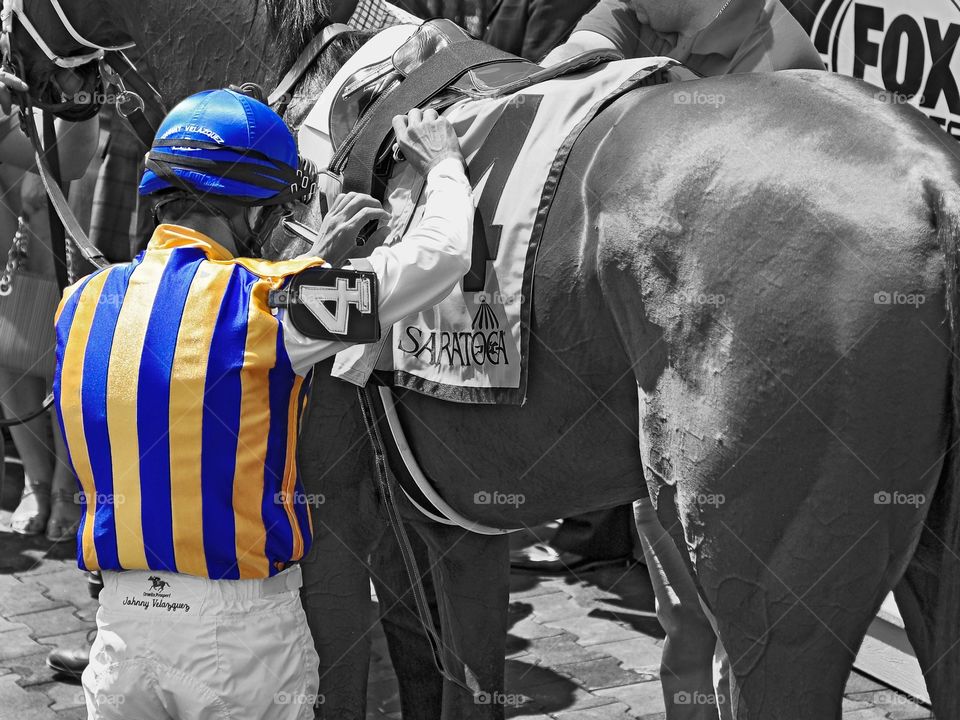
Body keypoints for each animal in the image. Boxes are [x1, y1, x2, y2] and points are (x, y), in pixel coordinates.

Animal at [16, 1, 960, 720]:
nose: (20, 81)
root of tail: (931, 178)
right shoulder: (439, 519)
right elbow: (445, 671)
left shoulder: (321, 515)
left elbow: (343, 681)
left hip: (767, 596)